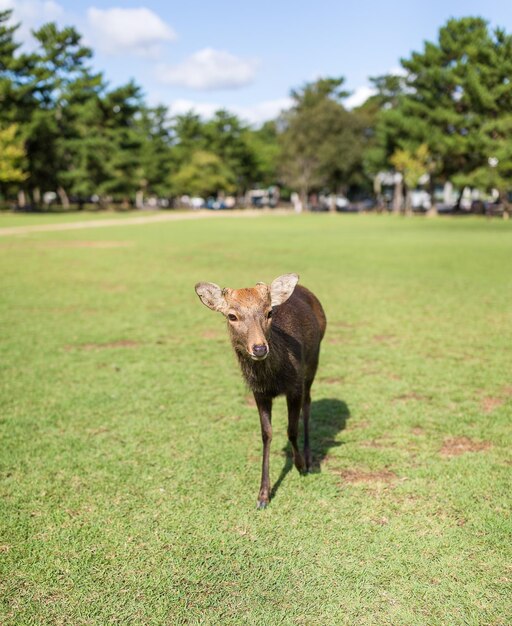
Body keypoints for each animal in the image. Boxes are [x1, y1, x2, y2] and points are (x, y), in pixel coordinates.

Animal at [194, 272, 326, 508]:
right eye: (232, 316)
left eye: (269, 312)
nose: (259, 348)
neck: (274, 378)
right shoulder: (259, 392)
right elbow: (266, 434)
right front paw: (263, 495)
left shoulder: (295, 386)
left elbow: (292, 429)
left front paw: (301, 465)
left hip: (313, 362)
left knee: (308, 404)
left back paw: (310, 459)